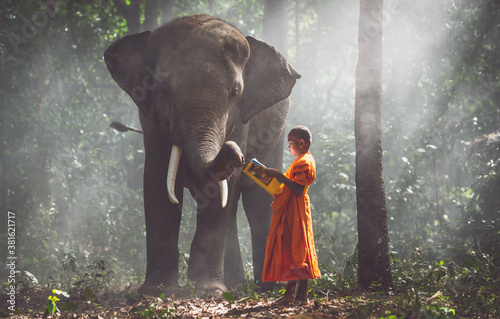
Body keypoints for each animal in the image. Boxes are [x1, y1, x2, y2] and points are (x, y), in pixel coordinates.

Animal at [104, 14, 300, 296]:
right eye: (164, 90)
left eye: (235, 93)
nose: (239, 155)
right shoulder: (149, 118)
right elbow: (157, 180)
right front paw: (156, 290)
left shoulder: (241, 120)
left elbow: (219, 191)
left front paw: (209, 290)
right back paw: (238, 284)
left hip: (276, 136)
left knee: (258, 203)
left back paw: (268, 288)